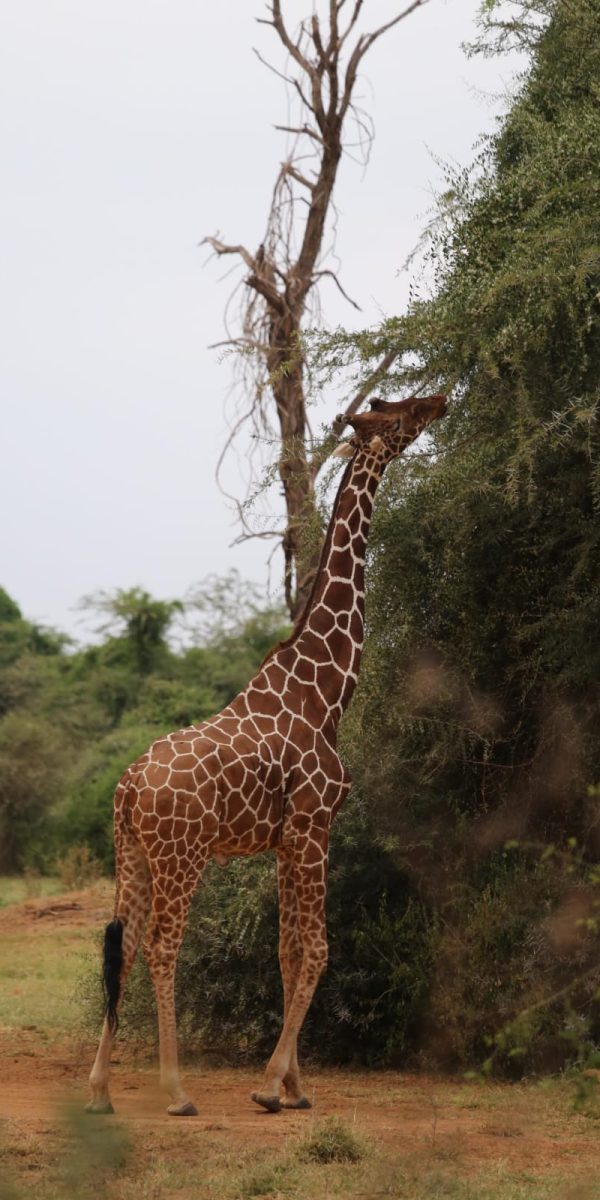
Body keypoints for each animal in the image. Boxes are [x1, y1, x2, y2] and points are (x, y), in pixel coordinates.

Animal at [86, 392, 446, 1117]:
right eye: (397, 413)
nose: (441, 399)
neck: (326, 693)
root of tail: (128, 787)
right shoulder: (314, 824)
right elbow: (318, 949)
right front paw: (269, 1085)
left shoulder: (285, 839)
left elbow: (286, 951)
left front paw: (295, 1088)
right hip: (183, 855)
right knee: (163, 947)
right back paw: (175, 1091)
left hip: (131, 853)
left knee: (124, 946)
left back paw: (101, 1089)